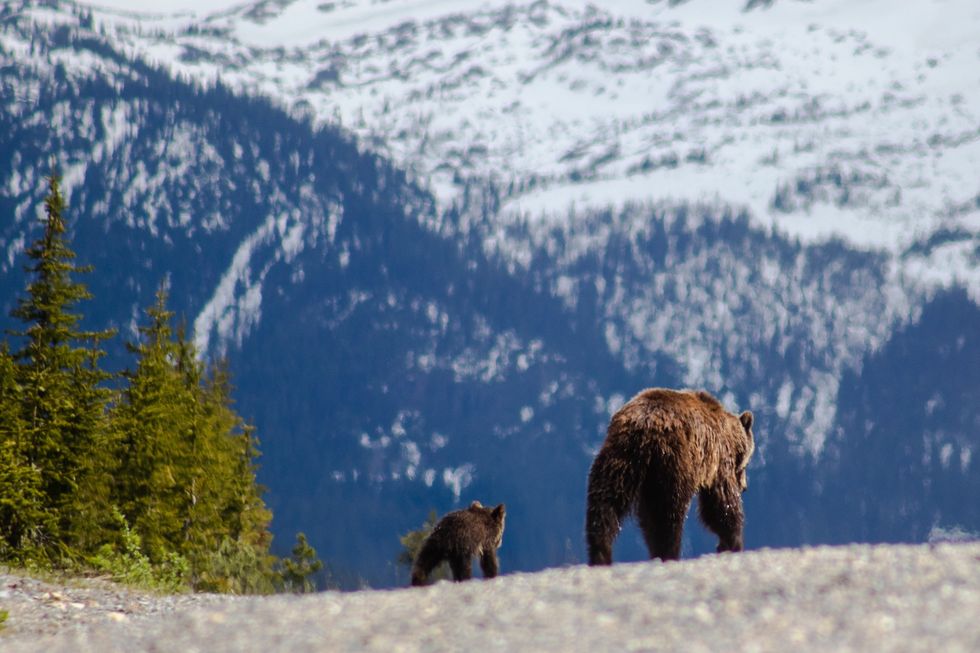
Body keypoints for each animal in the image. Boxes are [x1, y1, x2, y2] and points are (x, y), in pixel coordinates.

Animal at [585, 387, 754, 565]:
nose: (744, 487)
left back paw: (600, 553)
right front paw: (732, 542)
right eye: (746, 463)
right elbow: (721, 502)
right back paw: (669, 552)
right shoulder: (718, 460)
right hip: (672, 461)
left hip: (620, 458)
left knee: (605, 503)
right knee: (669, 512)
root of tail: (644, 425)